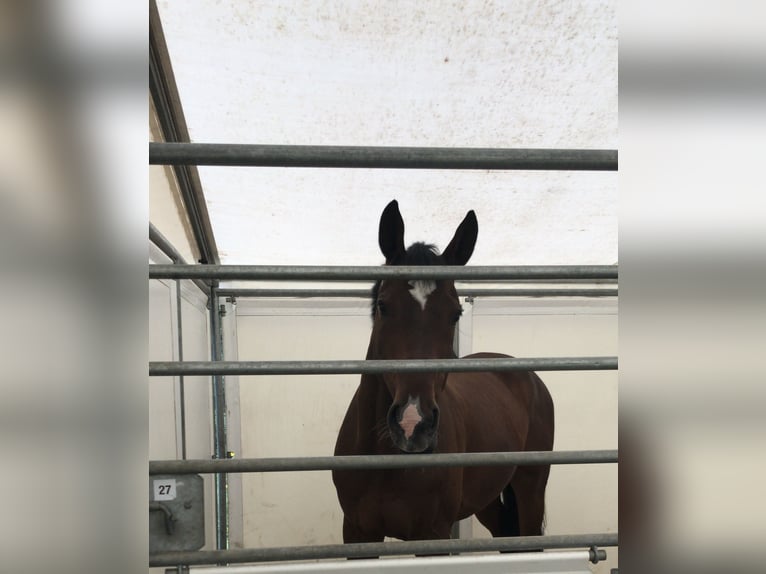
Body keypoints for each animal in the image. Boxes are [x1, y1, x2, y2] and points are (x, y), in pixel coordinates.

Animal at [332, 199, 555, 546]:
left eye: (456, 314)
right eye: (383, 305)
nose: (413, 424)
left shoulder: (434, 534)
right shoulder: (357, 532)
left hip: (530, 486)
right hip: (488, 499)